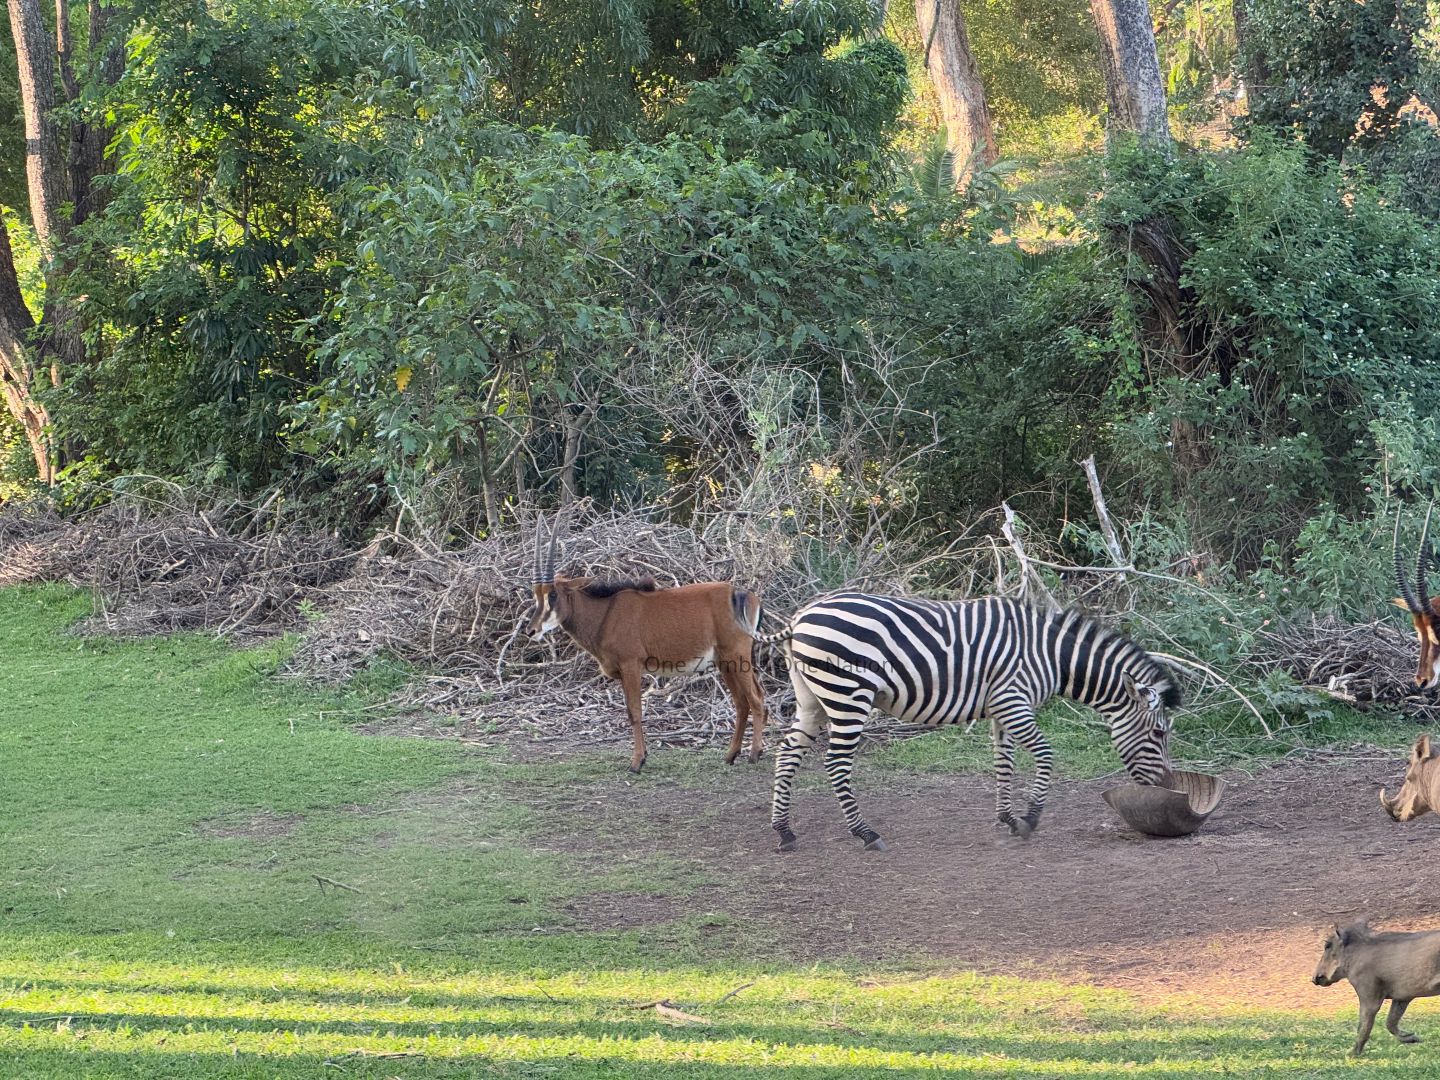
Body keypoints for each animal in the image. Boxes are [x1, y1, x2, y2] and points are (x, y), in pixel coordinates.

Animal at [760, 592, 1180, 851]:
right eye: (1159, 733)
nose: (1164, 786)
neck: (1051, 657)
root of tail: (801, 617)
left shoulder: (1002, 707)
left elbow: (1004, 763)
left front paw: (1007, 818)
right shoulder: (1013, 700)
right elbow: (1045, 755)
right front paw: (1030, 819)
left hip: (812, 698)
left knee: (787, 752)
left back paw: (784, 831)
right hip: (848, 694)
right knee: (835, 763)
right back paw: (866, 834)